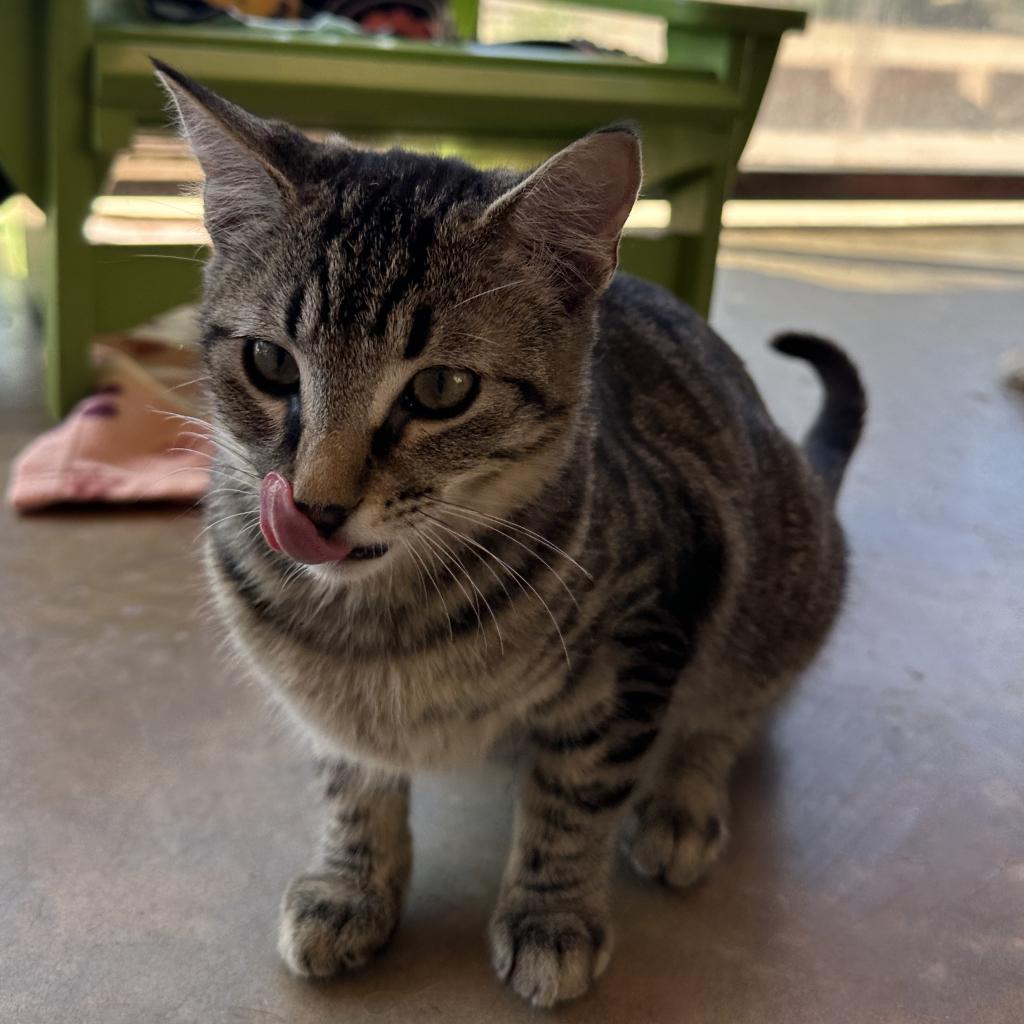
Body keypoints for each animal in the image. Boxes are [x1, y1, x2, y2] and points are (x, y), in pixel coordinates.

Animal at [155, 58, 864, 1007]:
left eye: (442, 389)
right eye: (269, 363)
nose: (314, 505)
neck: (378, 622)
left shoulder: (653, 621)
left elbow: (574, 795)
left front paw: (551, 913)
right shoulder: (325, 703)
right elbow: (351, 785)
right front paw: (352, 885)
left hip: (780, 580)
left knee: (730, 710)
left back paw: (682, 801)